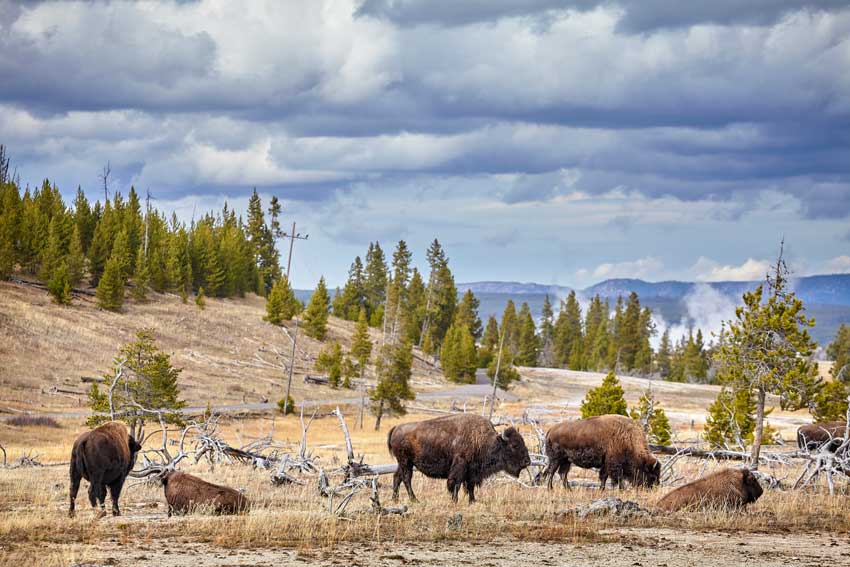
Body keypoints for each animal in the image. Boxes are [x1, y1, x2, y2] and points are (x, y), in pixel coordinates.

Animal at [386, 414, 528, 504]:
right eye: (514, 445)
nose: (528, 461)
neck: (482, 440)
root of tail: (396, 428)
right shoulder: (460, 467)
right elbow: (456, 484)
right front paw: (455, 501)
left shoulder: (472, 472)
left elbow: (470, 486)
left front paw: (473, 501)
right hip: (406, 462)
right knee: (406, 478)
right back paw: (414, 500)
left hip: (404, 463)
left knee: (397, 477)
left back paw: (395, 499)